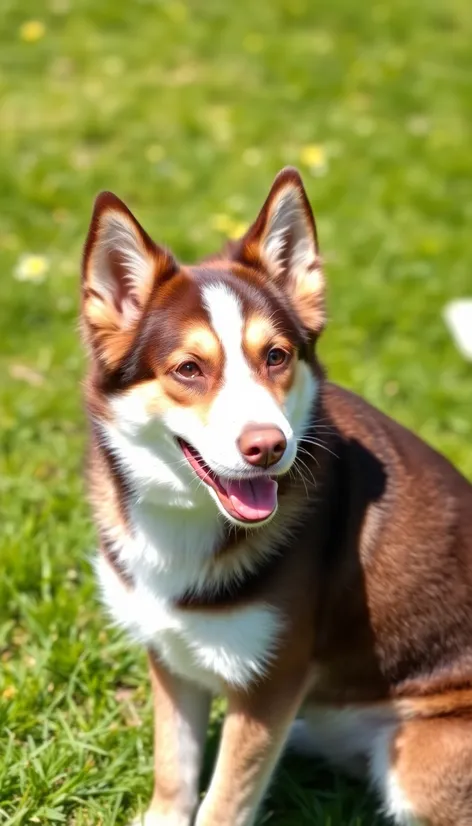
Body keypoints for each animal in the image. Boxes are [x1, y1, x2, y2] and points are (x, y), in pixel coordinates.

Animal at [83, 169, 472, 824]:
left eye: (276, 356)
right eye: (189, 369)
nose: (268, 446)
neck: (189, 521)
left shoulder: (270, 682)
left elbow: (222, 804)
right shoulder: (172, 654)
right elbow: (174, 773)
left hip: (419, 760)